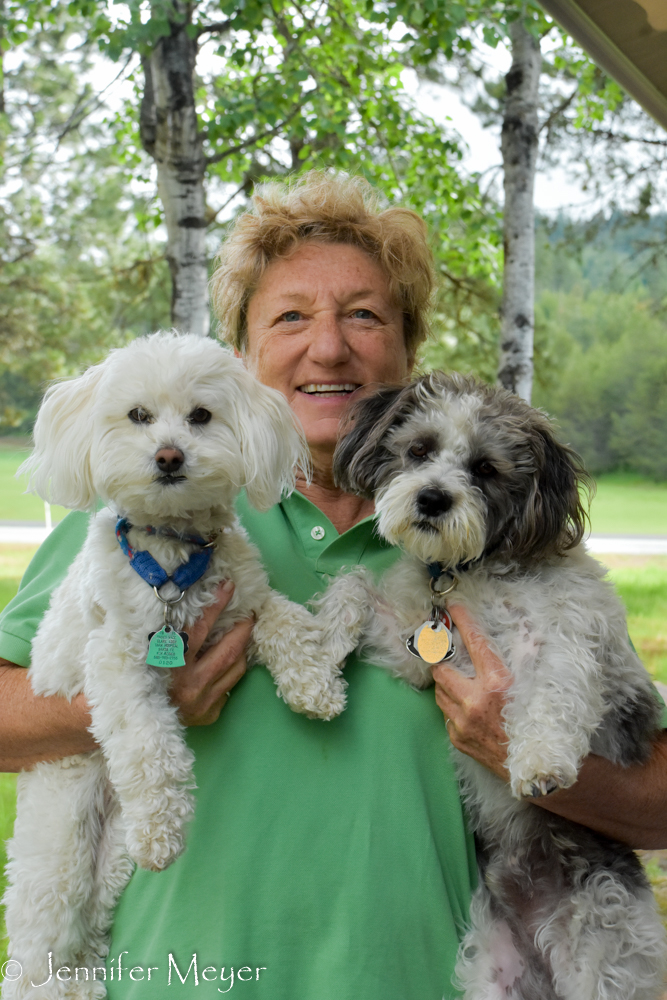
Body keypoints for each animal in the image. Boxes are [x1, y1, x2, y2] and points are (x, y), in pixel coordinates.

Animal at [1, 336, 366, 1000]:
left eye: (200, 415)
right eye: (138, 416)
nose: (169, 456)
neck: (172, 557)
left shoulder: (244, 602)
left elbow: (285, 621)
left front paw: (314, 684)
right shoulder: (118, 658)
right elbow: (150, 744)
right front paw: (164, 829)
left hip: (110, 865)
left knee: (90, 928)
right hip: (58, 852)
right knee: (42, 949)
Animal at [332, 374, 664, 1000]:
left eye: (485, 468)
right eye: (419, 450)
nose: (433, 498)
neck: (474, 572)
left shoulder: (566, 637)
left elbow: (553, 692)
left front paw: (539, 763)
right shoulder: (421, 651)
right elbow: (354, 585)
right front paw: (314, 654)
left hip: (605, 956)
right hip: (493, 973)